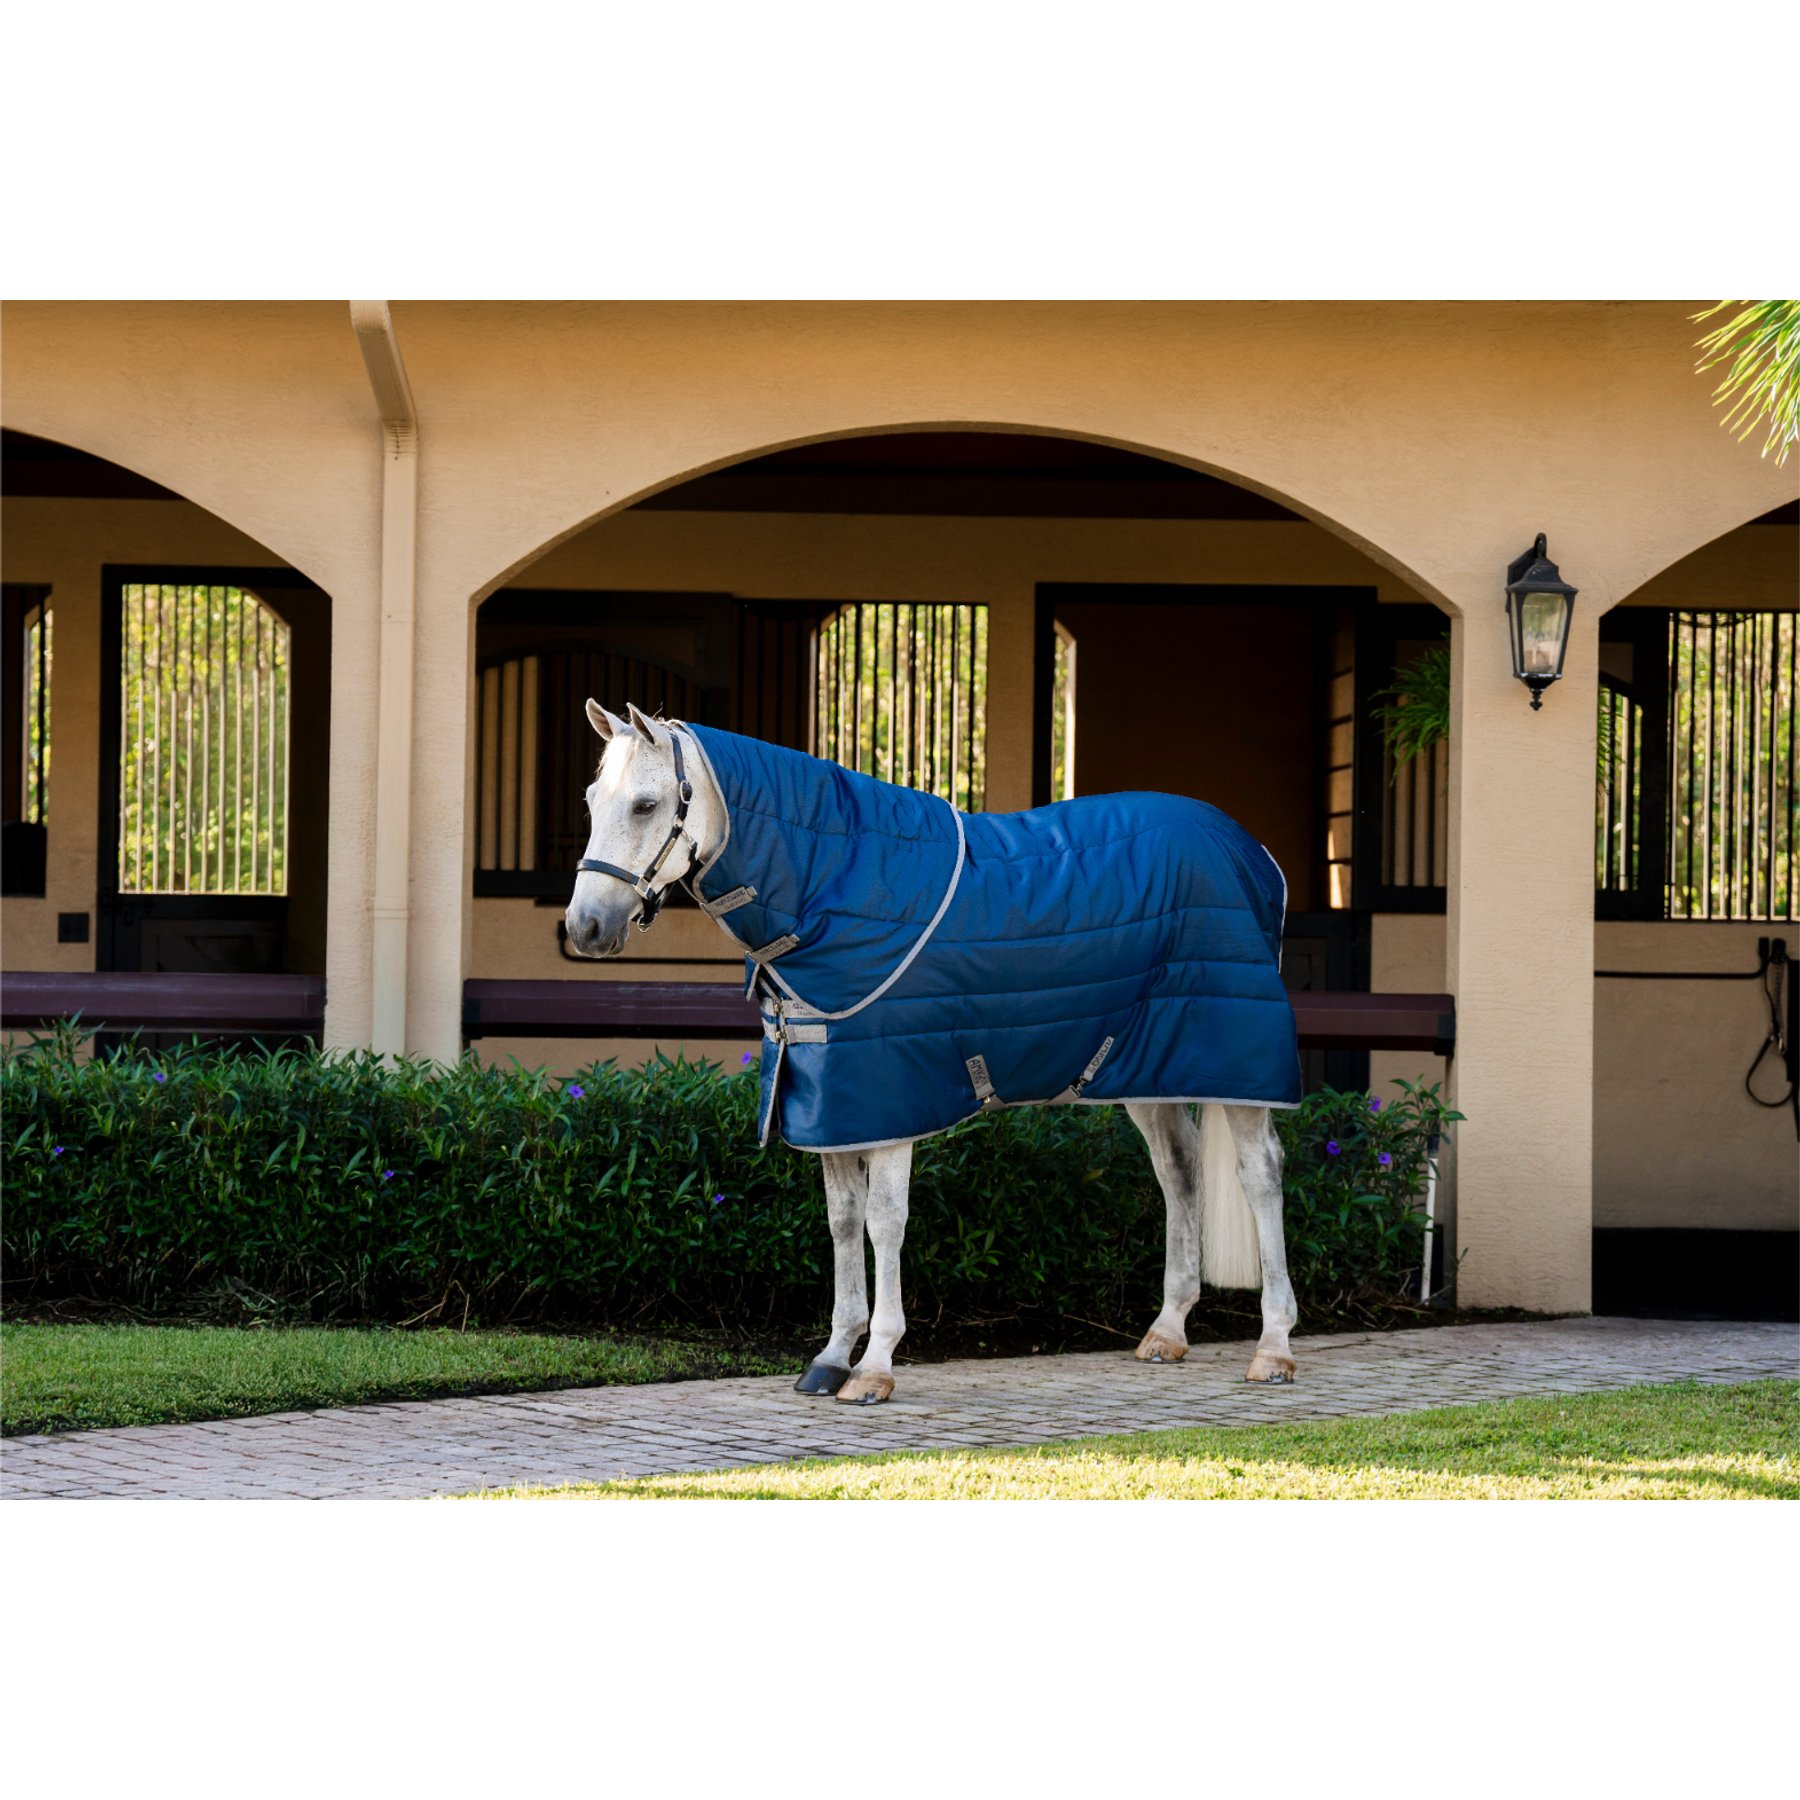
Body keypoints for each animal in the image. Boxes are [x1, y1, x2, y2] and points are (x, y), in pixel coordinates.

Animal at [564, 700, 1303, 1405]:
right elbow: (842, 1223)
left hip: (1236, 1063)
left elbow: (884, 1224)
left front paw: (875, 1368)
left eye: (646, 804)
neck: (830, 883)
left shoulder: (889, 1101)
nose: (585, 927)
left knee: (1261, 1175)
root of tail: (1255, 853)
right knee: (1179, 1171)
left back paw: (1274, 1348)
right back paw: (1167, 1331)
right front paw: (831, 1357)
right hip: (1146, 1067)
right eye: (592, 800)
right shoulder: (833, 1103)